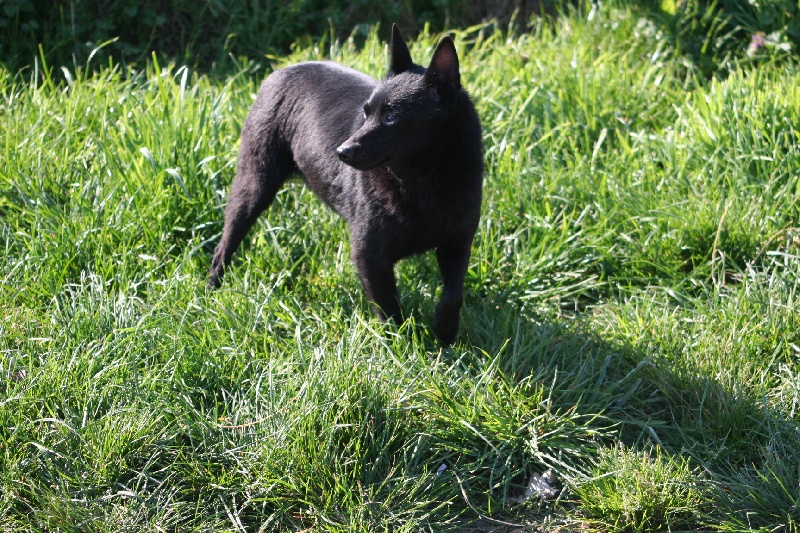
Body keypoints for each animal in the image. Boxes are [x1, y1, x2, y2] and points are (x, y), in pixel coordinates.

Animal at [206, 25, 482, 342]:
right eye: (366, 112)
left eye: (391, 116)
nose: (342, 151)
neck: (419, 179)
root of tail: (281, 70)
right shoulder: (370, 256)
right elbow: (389, 310)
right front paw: (401, 346)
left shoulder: (457, 242)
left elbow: (453, 295)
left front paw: (443, 332)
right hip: (253, 185)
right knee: (223, 247)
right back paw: (210, 294)